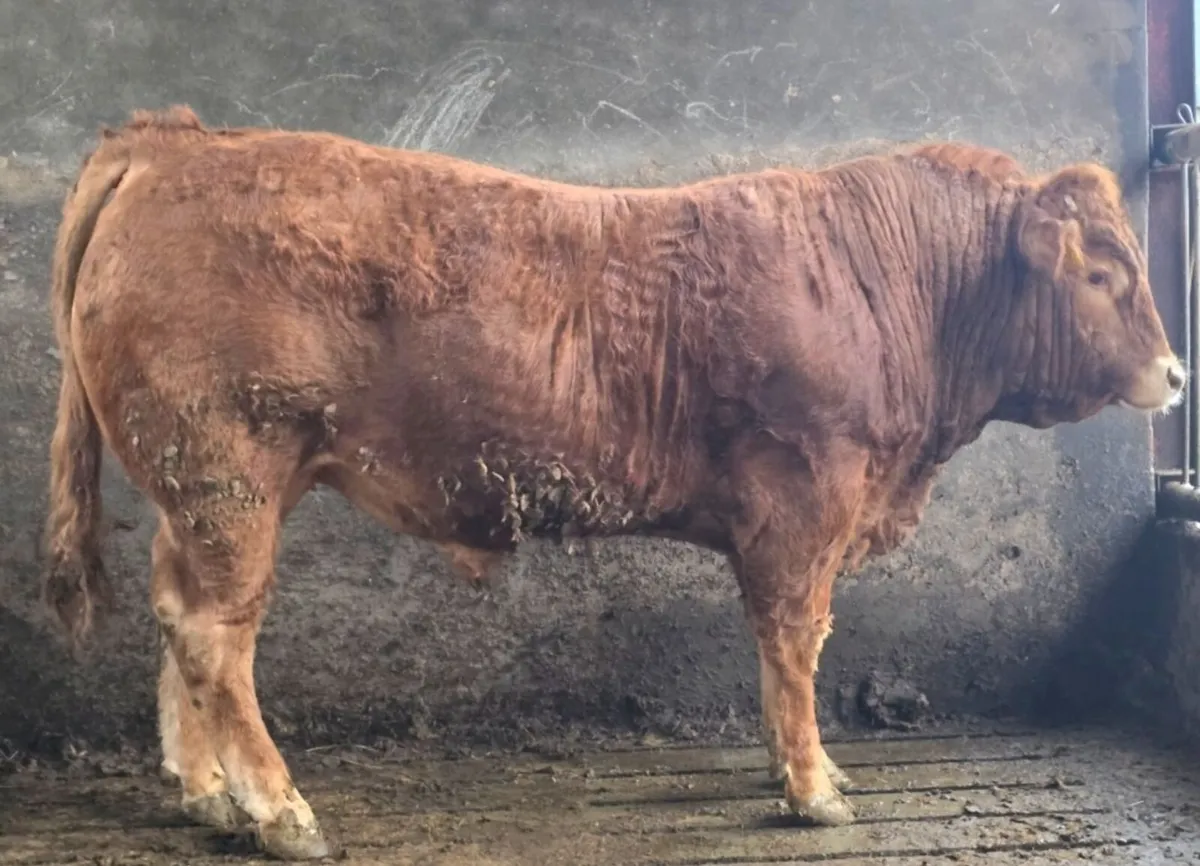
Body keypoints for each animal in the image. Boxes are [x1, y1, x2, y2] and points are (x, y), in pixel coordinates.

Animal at [41, 106, 1183, 859]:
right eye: (1103, 273)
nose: (1176, 375)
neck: (885, 282)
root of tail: (180, 141)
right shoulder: (805, 501)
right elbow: (795, 642)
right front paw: (812, 786)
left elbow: (780, 650)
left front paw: (796, 767)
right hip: (229, 474)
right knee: (216, 637)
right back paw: (280, 812)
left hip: (200, 493)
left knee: (177, 618)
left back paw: (204, 793)